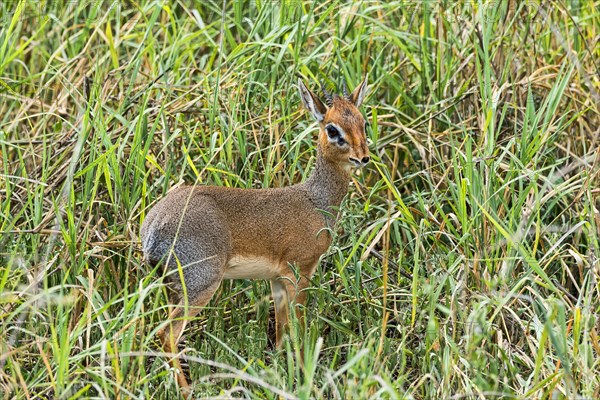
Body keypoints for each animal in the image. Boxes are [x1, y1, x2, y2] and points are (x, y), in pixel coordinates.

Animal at [141, 75, 370, 394]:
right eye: (332, 128)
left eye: (363, 122)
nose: (363, 158)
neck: (315, 201)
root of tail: (153, 228)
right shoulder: (299, 272)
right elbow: (298, 330)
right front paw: (304, 379)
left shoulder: (276, 280)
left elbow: (281, 333)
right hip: (201, 285)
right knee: (166, 333)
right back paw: (187, 390)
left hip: (173, 288)